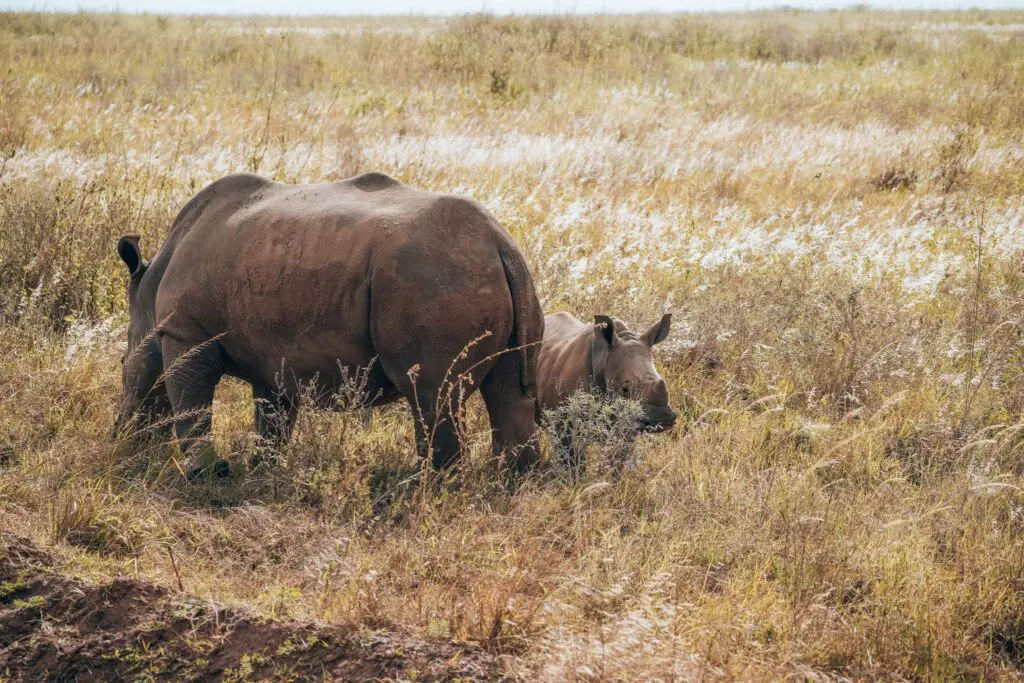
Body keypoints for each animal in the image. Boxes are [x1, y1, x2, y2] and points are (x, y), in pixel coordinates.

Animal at [115, 172, 543, 479]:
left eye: (121, 364)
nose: (119, 436)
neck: (150, 288)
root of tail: (500, 244)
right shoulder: (271, 351)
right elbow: (272, 417)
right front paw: (261, 471)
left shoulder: (184, 332)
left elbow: (191, 402)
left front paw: (204, 474)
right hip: (497, 280)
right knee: (508, 392)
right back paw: (511, 485)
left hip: (433, 280)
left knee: (432, 395)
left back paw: (425, 490)